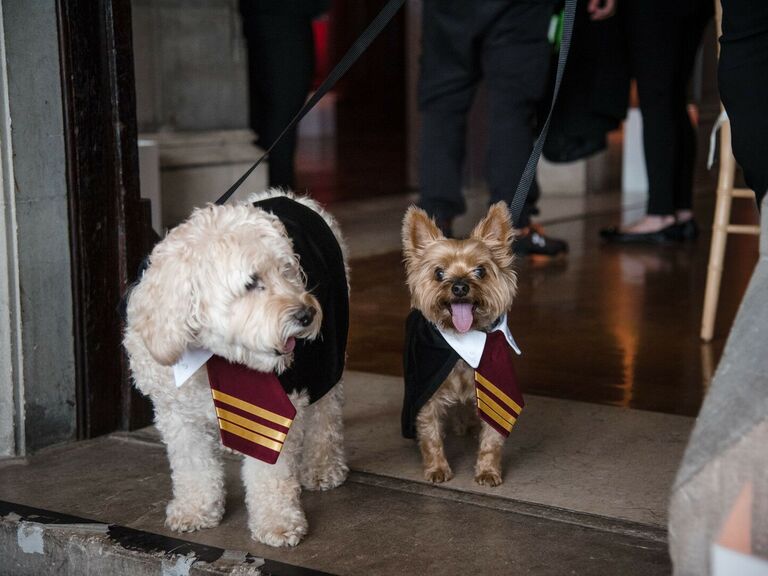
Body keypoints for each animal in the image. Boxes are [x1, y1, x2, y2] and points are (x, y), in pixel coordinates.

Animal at [125, 191, 348, 548]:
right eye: (251, 282)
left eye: (287, 271)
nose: (307, 314)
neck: (213, 356)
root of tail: (291, 196)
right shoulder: (176, 415)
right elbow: (192, 465)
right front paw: (196, 508)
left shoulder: (276, 408)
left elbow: (271, 472)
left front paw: (277, 521)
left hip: (328, 360)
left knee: (325, 417)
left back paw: (322, 466)